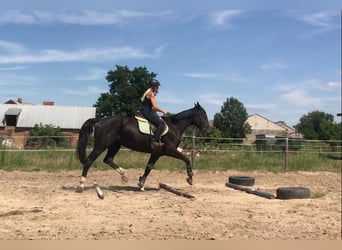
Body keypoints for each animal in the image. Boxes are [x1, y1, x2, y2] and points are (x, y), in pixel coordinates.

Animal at [75, 101, 208, 191]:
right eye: (204, 115)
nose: (207, 130)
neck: (174, 127)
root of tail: (99, 121)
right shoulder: (170, 150)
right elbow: (186, 159)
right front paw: (190, 178)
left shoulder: (156, 153)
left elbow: (148, 167)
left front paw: (141, 184)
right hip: (101, 146)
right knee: (89, 161)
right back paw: (81, 185)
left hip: (115, 145)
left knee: (108, 159)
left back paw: (124, 176)